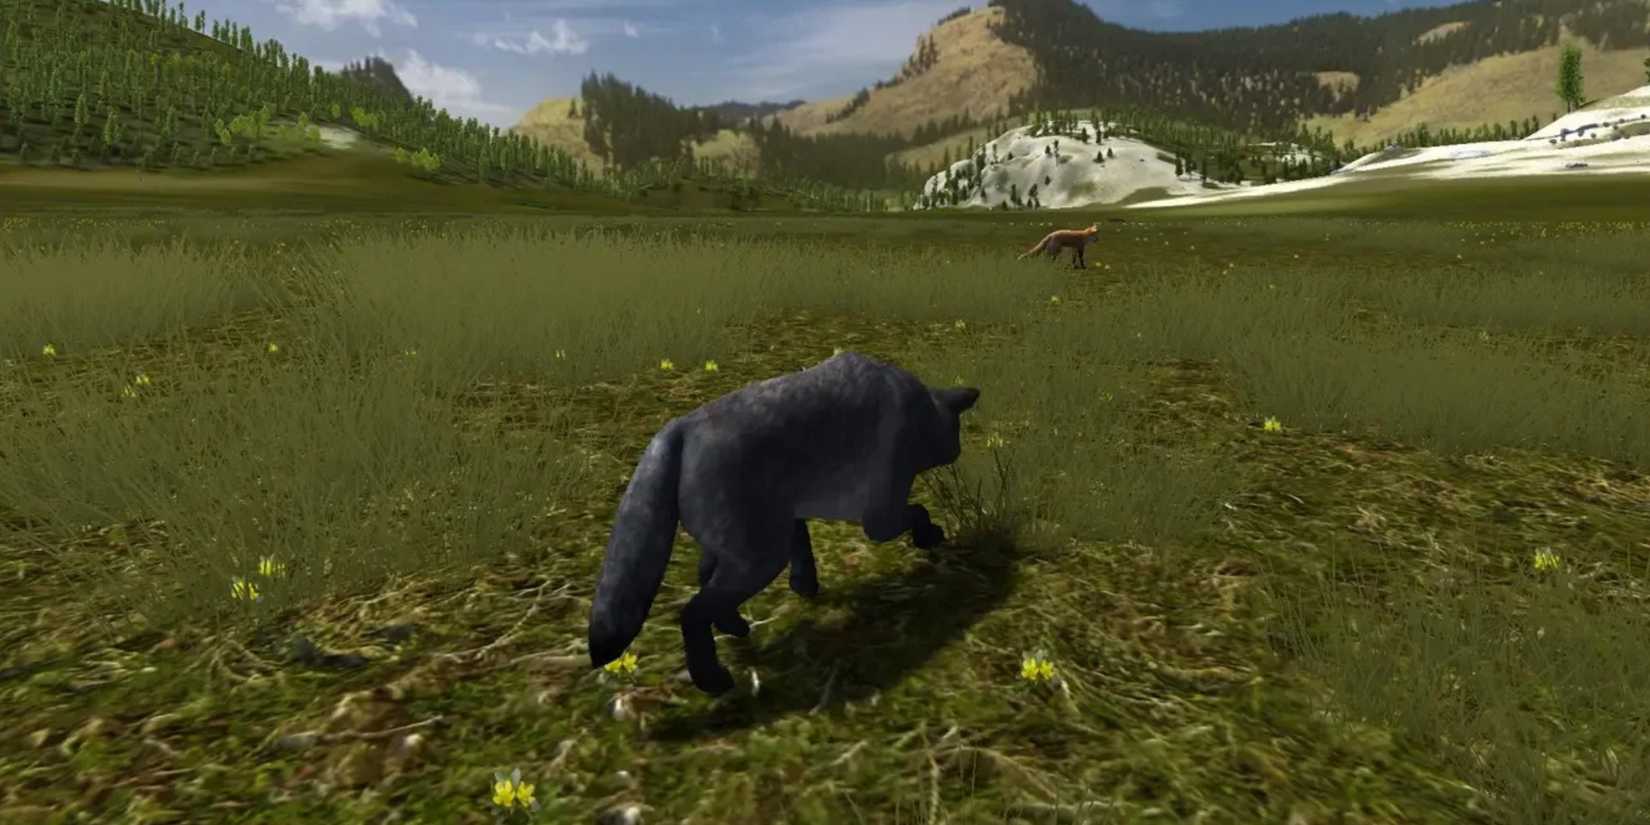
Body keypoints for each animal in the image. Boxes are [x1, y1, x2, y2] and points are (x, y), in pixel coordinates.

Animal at [587, 351, 982, 695]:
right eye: (956, 431)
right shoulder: (879, 516)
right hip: (759, 554)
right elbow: (917, 511)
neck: (920, 406)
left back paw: (735, 627)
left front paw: (805, 586)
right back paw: (713, 679)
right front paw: (931, 536)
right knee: (694, 611)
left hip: (737, 542)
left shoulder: (790, 511)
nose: (958, 450)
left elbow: (803, 545)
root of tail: (677, 429)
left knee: (705, 580)